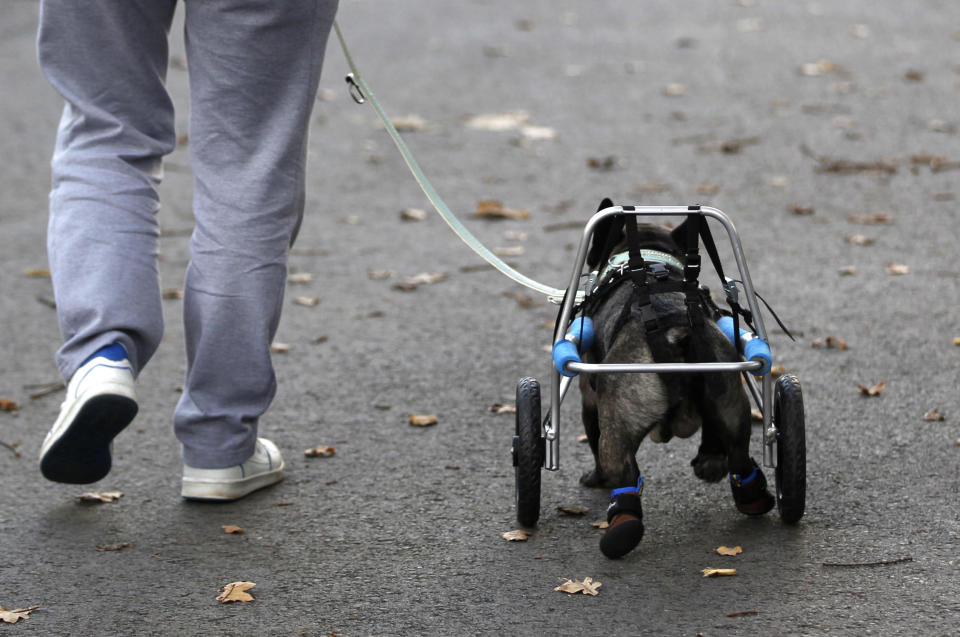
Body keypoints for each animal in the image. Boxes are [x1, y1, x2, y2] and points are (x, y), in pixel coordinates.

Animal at [576, 199, 772, 556]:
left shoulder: (589, 396)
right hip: (730, 403)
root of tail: (674, 333)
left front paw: (594, 479)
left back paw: (620, 531)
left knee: (623, 476)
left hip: (618, 426)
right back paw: (747, 492)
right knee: (738, 456)